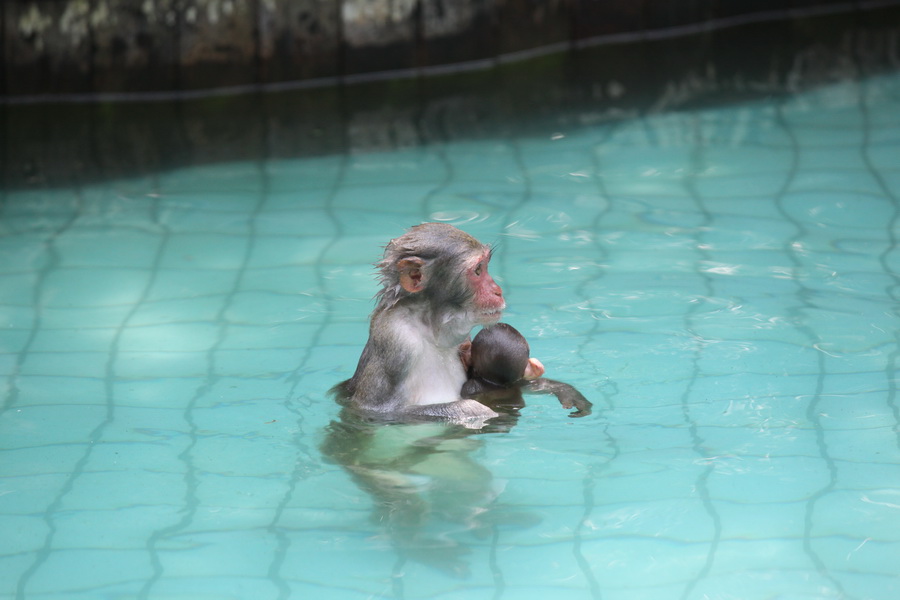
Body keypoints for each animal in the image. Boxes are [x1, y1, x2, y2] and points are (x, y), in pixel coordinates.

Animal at [331, 223, 507, 424]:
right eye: (478, 270)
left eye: (485, 266)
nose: (498, 291)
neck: (430, 330)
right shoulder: (397, 341)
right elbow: (372, 411)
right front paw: (473, 410)